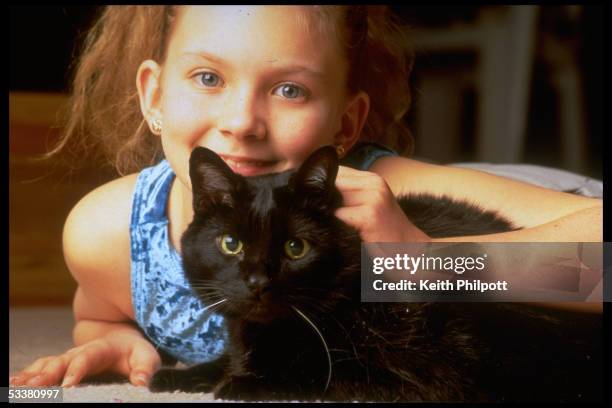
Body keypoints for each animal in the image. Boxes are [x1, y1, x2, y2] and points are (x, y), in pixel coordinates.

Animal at [149, 146, 604, 402]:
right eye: (231, 243)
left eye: (297, 248)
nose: (258, 283)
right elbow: (228, 357)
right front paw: (179, 374)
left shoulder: (423, 375)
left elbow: (323, 373)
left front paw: (239, 382)